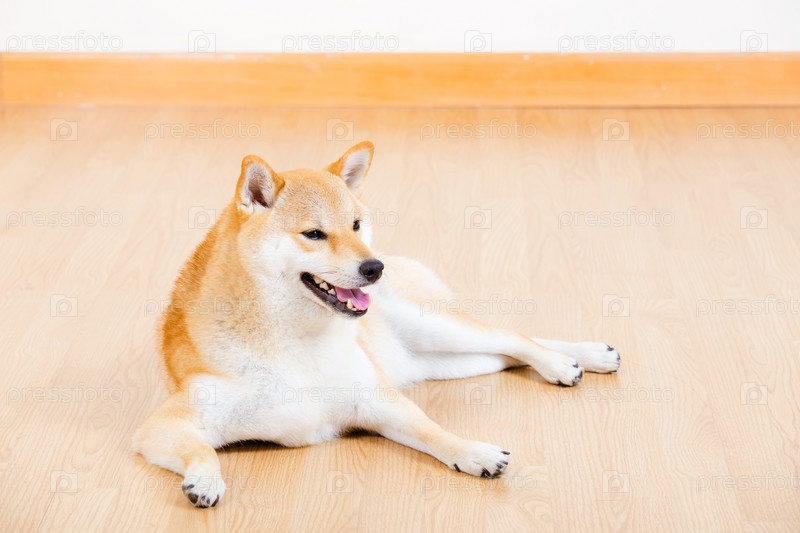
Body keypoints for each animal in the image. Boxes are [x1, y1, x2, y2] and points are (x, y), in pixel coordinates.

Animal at [133, 141, 621, 507]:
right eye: (314, 234)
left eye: (355, 224)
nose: (374, 268)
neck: (299, 340)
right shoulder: (165, 425)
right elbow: (200, 449)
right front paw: (206, 479)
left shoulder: (376, 400)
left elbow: (433, 431)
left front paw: (471, 450)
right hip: (447, 360)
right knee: (505, 353)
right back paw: (583, 357)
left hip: (434, 328)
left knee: (513, 336)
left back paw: (564, 361)